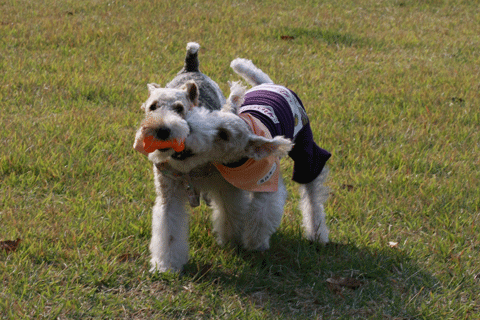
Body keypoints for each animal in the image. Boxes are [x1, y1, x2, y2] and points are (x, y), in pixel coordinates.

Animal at [134, 53, 330, 272]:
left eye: (180, 108)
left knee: (312, 193)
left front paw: (247, 242)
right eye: (152, 107)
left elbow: (254, 212)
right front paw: (166, 266)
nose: (163, 130)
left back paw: (317, 233)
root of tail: (271, 85)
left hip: (306, 151)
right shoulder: (170, 195)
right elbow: (169, 231)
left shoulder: (256, 184)